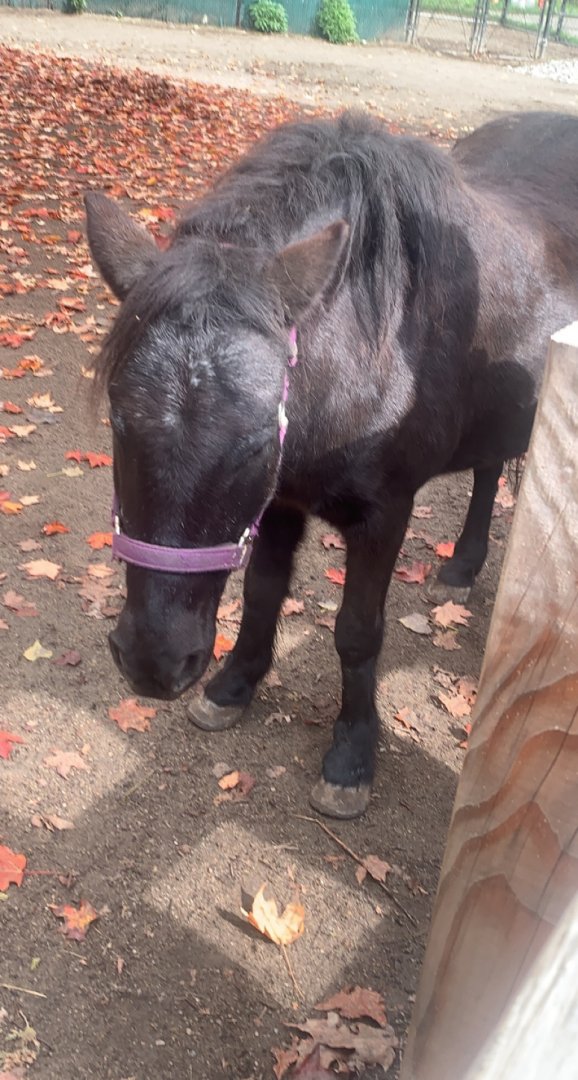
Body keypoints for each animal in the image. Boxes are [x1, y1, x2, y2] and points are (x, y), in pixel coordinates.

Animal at [85, 110, 578, 819]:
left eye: (256, 442)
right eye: (120, 422)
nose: (154, 663)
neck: (364, 358)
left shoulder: (384, 515)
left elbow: (357, 632)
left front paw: (351, 757)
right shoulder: (281, 502)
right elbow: (263, 592)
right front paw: (234, 686)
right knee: (489, 468)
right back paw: (459, 567)